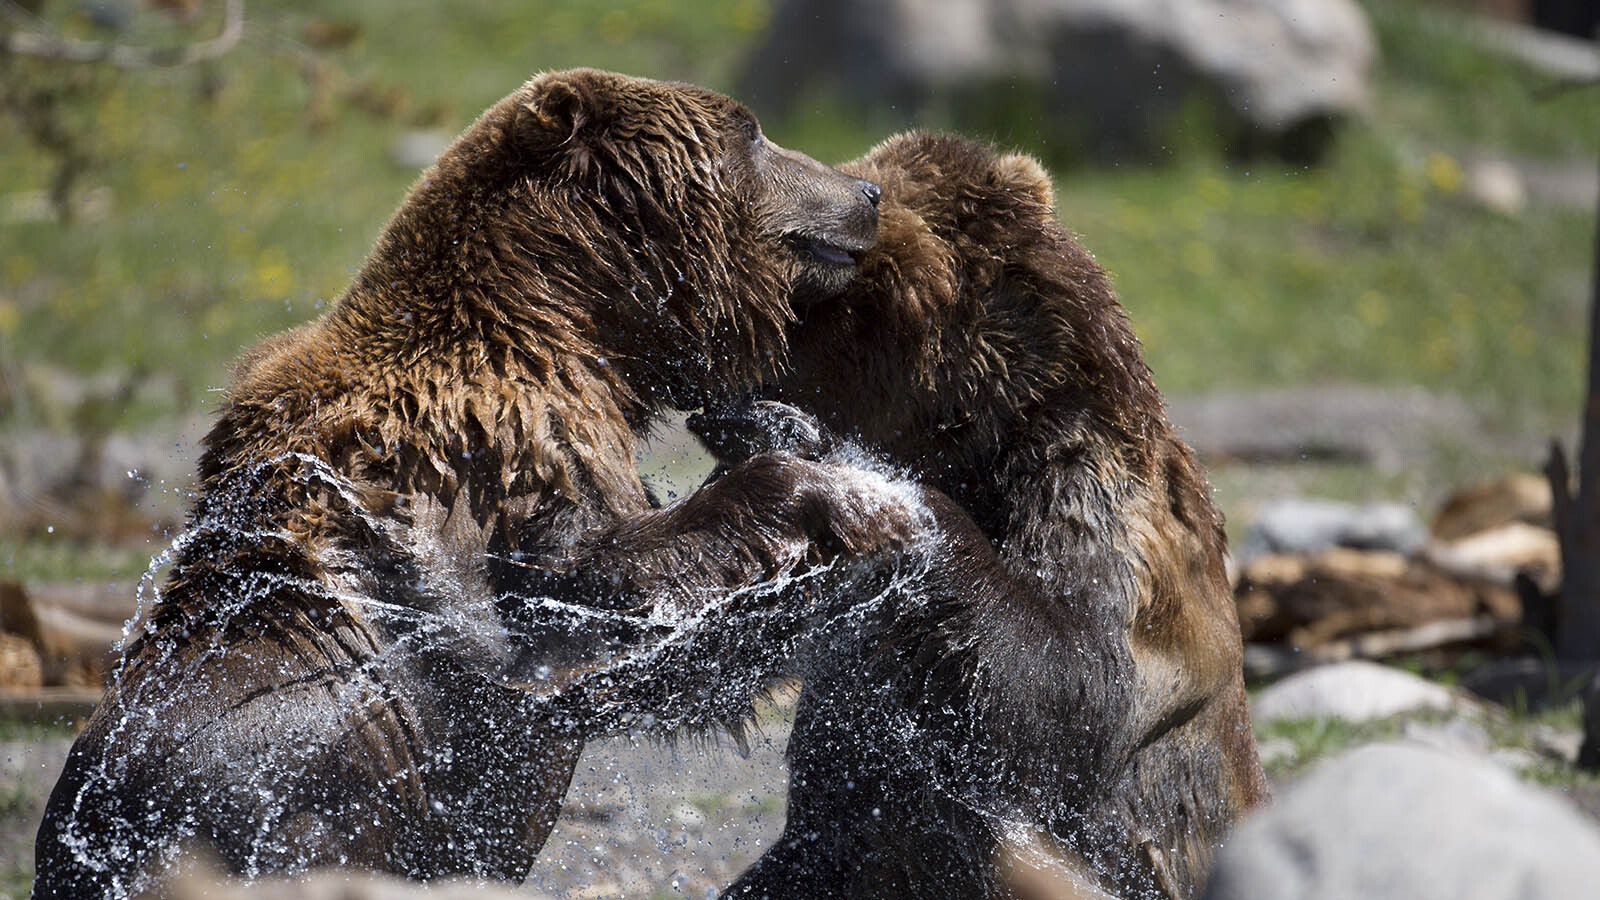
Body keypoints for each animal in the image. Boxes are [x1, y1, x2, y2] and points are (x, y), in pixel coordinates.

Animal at [34, 70, 915, 896]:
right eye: (753, 131)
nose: (867, 193)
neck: (571, 319)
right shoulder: (502, 460)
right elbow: (605, 592)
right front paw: (858, 507)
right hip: (291, 817)